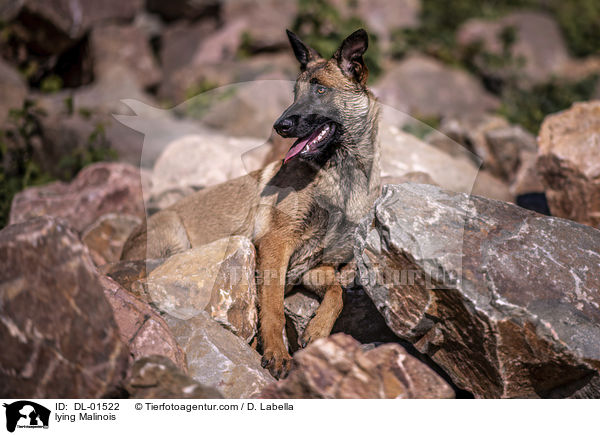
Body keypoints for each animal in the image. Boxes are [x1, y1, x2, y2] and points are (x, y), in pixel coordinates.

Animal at [121, 29, 380, 380]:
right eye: (295, 93)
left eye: (320, 90)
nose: (280, 126)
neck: (338, 174)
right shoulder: (274, 245)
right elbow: (272, 309)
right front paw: (276, 353)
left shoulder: (314, 265)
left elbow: (338, 294)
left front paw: (317, 330)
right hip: (176, 238)